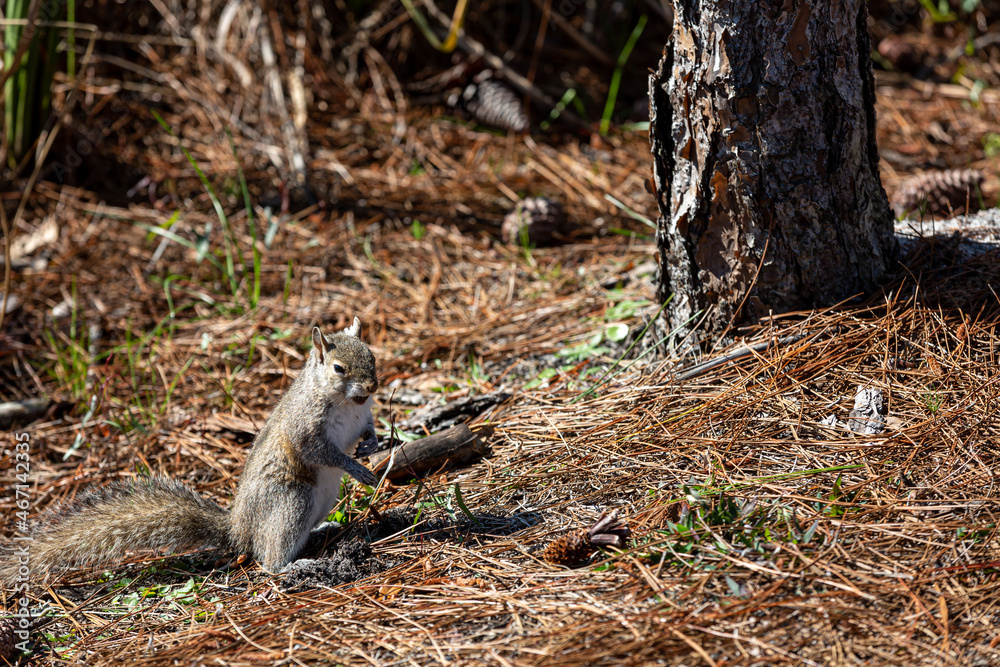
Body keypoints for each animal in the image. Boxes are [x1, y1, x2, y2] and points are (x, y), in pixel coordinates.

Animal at [2, 317, 381, 581]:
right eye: (338, 368)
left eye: (372, 357)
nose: (373, 386)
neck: (346, 402)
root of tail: (237, 528)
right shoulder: (305, 429)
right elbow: (322, 453)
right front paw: (357, 468)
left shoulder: (362, 417)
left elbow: (368, 428)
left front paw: (373, 445)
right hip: (292, 501)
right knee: (268, 556)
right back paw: (293, 566)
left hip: (322, 500)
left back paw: (324, 528)